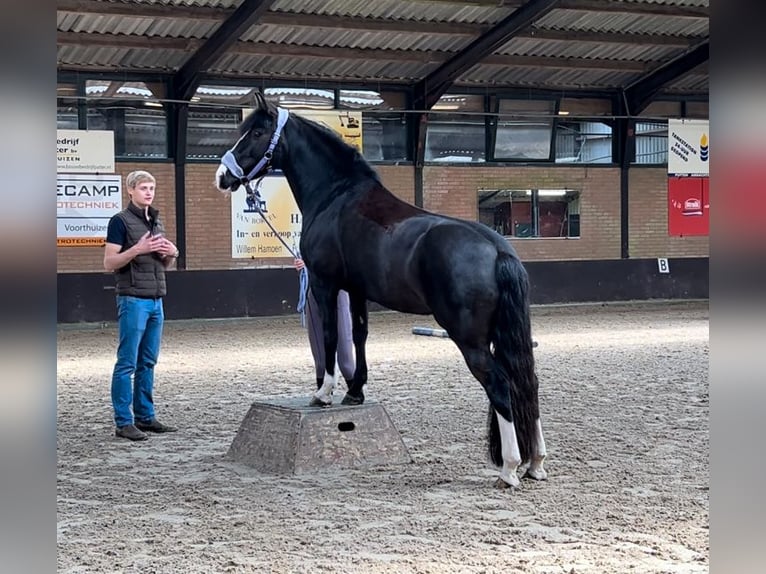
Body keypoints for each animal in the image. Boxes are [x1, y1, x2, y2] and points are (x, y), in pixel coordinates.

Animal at [219, 95, 548, 490]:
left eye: (255, 132)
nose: (222, 176)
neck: (336, 196)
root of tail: (497, 249)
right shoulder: (356, 290)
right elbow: (359, 335)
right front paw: (354, 391)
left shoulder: (325, 284)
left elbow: (330, 335)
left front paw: (324, 393)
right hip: (503, 335)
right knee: (527, 382)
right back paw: (535, 463)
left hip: (470, 340)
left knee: (500, 384)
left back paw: (510, 469)